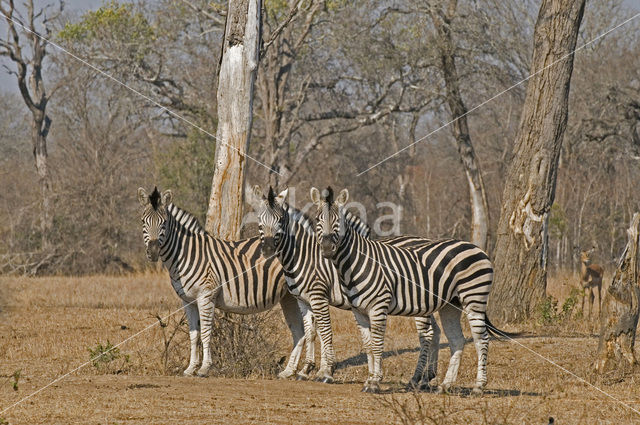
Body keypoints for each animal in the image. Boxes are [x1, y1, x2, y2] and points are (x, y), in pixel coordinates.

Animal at [138, 186, 316, 378]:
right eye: (143, 222)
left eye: (163, 223)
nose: (153, 252)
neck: (186, 253)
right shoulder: (188, 301)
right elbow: (193, 335)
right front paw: (190, 368)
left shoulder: (206, 296)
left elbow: (205, 333)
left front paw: (204, 368)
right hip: (289, 297)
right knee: (299, 331)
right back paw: (289, 371)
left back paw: (309, 370)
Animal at [255, 184, 440, 386]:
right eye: (259, 220)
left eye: (280, 220)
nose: (268, 250)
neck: (304, 255)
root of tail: (427, 240)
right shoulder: (303, 300)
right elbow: (311, 332)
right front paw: (306, 370)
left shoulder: (319, 296)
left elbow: (325, 331)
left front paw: (326, 371)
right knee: (436, 331)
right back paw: (427, 377)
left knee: (426, 335)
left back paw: (416, 378)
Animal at [312, 186, 498, 394]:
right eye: (318, 219)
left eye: (339, 220)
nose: (327, 249)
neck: (356, 262)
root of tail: (477, 248)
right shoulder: (358, 311)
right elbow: (368, 345)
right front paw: (369, 380)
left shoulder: (378, 307)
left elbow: (377, 344)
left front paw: (375, 381)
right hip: (451, 305)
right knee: (457, 340)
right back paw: (445, 385)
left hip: (474, 298)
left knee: (482, 339)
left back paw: (478, 386)